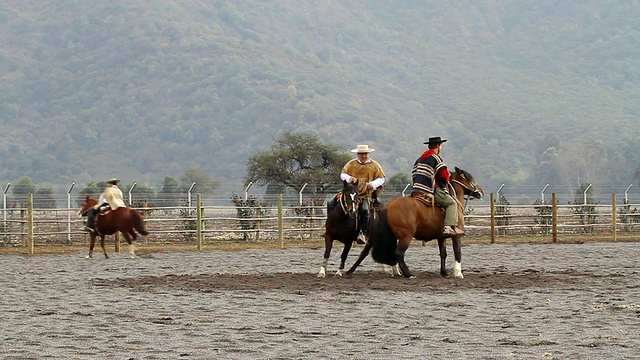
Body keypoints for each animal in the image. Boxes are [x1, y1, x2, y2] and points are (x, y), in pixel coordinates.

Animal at [348, 168, 482, 278]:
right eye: (469, 178)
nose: (480, 191)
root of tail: (389, 206)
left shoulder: (441, 237)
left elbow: (443, 254)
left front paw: (444, 272)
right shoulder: (456, 236)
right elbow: (457, 252)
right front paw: (458, 273)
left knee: (373, 252)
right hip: (405, 236)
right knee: (398, 253)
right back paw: (408, 274)